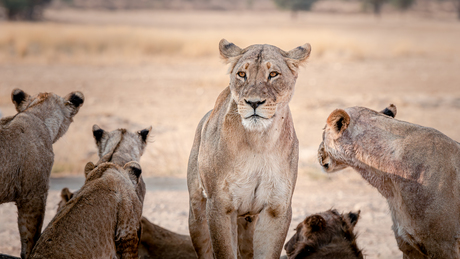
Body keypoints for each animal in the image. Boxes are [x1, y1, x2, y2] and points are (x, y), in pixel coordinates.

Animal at [188, 39, 312, 259]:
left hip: (248, 222)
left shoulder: (276, 208)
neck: (259, 142)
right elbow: (224, 252)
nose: (254, 102)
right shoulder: (220, 205)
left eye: (273, 74)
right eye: (241, 74)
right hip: (197, 213)